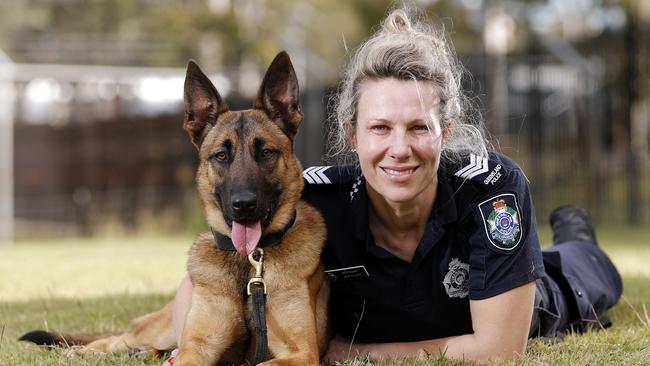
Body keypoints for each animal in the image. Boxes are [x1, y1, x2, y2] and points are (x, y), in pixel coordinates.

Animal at [20, 50, 330, 366]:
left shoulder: (301, 353)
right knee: (119, 338)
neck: (248, 265)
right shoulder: (196, 348)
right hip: (160, 329)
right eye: (221, 155)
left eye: (266, 152)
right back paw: (87, 351)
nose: (243, 205)